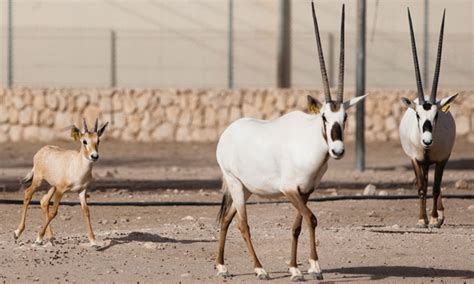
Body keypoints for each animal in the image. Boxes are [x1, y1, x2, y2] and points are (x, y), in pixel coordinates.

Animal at [14, 117, 109, 246]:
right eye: (84, 141)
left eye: (98, 140)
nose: (94, 156)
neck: (77, 166)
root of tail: (41, 151)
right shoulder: (60, 190)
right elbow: (53, 212)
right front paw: (38, 238)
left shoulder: (82, 191)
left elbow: (86, 211)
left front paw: (93, 241)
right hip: (38, 180)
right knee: (28, 194)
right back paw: (18, 232)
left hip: (52, 186)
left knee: (44, 201)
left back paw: (51, 237)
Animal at [215, 2, 366, 282]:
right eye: (324, 116)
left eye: (346, 116)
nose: (337, 150)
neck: (308, 144)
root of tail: (228, 132)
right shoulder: (289, 189)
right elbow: (312, 219)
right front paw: (314, 267)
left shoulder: (306, 190)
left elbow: (298, 224)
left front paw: (296, 268)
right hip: (235, 183)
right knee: (242, 223)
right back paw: (259, 269)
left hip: (245, 187)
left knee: (227, 220)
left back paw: (221, 266)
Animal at [400, 7, 460, 227]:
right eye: (418, 114)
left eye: (437, 115)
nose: (427, 141)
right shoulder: (416, 160)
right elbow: (421, 188)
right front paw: (422, 219)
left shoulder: (442, 159)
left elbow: (435, 188)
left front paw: (434, 218)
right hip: (422, 163)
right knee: (425, 183)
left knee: (436, 186)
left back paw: (440, 214)